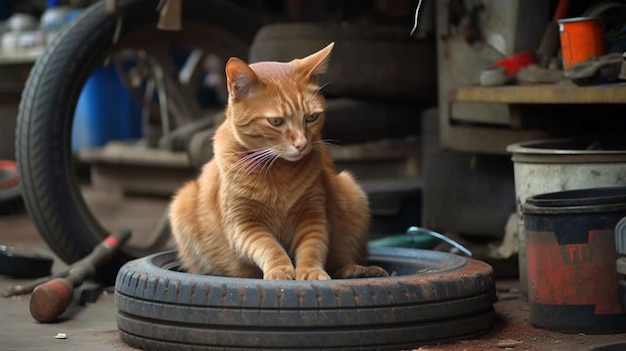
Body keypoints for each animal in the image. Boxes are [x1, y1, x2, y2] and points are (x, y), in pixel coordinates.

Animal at [168, 43, 388, 280]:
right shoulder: (244, 225)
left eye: (311, 117)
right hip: (182, 204)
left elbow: (312, 249)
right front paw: (280, 270)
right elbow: (269, 247)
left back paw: (358, 271)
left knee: (341, 261)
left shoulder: (313, 217)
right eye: (276, 121)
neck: (277, 174)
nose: (301, 144)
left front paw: (311, 271)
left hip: (353, 194)